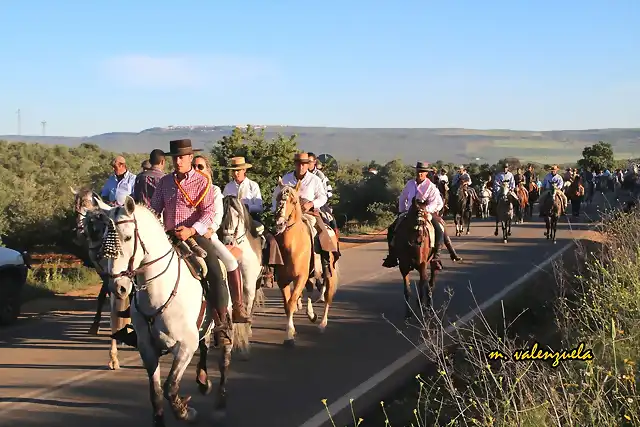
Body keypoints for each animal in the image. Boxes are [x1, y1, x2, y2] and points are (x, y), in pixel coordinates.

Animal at [69, 187, 131, 372]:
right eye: (75, 208)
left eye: (90, 209)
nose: (79, 233)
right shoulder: (104, 273)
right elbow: (103, 296)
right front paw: (94, 326)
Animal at [95, 198, 235, 427]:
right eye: (105, 242)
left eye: (127, 237)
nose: (118, 287)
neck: (159, 291)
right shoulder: (147, 348)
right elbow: (156, 392)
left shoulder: (185, 346)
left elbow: (170, 387)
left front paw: (186, 412)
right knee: (205, 346)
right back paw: (203, 381)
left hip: (224, 325)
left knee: (224, 360)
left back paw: (221, 403)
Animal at [272, 181, 340, 348]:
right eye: (277, 198)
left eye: (293, 201)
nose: (279, 223)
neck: (292, 246)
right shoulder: (283, 280)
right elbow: (287, 305)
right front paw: (292, 331)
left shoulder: (300, 278)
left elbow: (291, 302)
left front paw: (289, 336)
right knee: (310, 289)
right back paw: (311, 315)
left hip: (329, 273)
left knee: (327, 297)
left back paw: (322, 324)